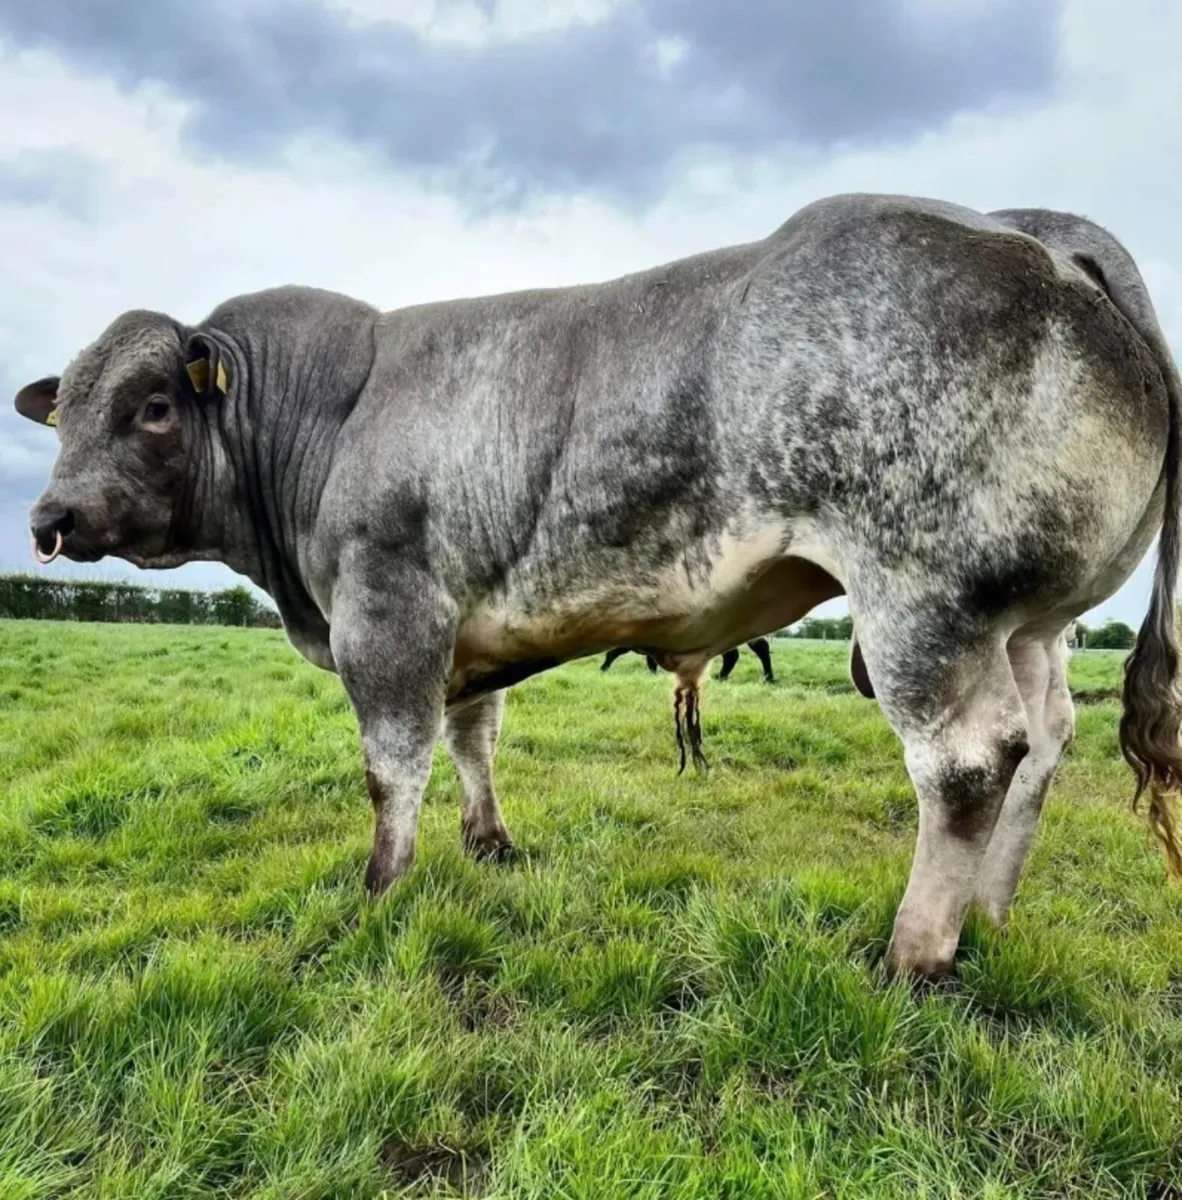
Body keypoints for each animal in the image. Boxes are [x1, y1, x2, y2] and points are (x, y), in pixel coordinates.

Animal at [15, 192, 1182, 980]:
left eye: (152, 408)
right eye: (64, 410)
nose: (47, 519)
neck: (324, 420)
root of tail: (1026, 227)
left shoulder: (387, 618)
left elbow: (393, 768)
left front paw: (381, 890)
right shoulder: (464, 628)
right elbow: (472, 738)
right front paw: (488, 845)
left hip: (924, 605)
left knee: (970, 764)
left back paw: (917, 954)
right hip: (1027, 622)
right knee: (1043, 745)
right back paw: (991, 917)